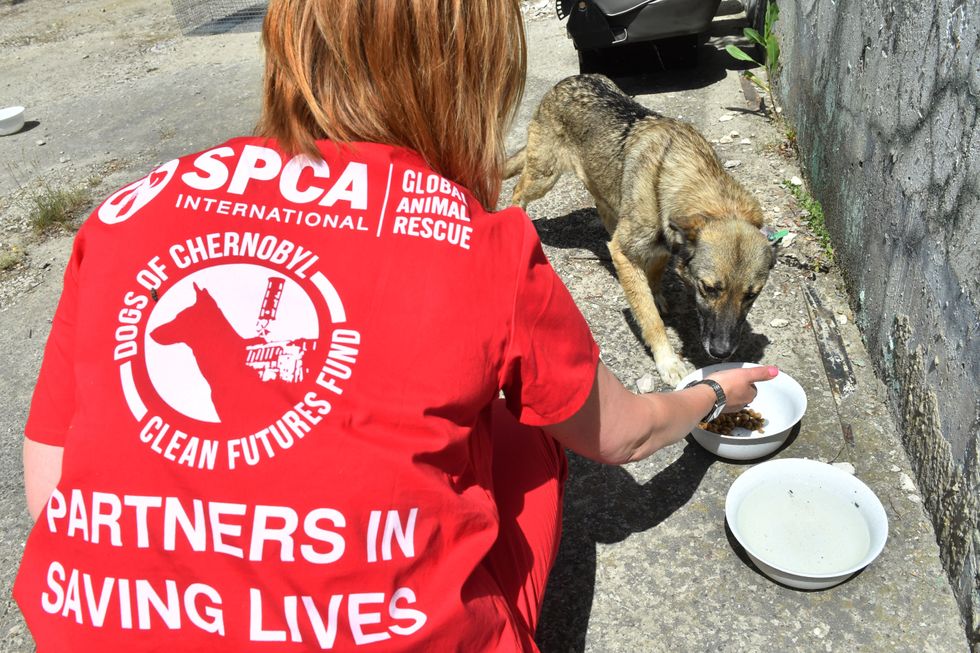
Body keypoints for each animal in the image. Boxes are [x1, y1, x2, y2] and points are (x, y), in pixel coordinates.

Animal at [510, 74, 776, 384]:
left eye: (751, 295)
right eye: (708, 288)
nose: (721, 353)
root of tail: (568, 80)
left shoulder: (662, 248)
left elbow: (654, 277)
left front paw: (654, 293)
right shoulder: (627, 251)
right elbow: (650, 318)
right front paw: (667, 359)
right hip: (544, 177)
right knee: (518, 192)